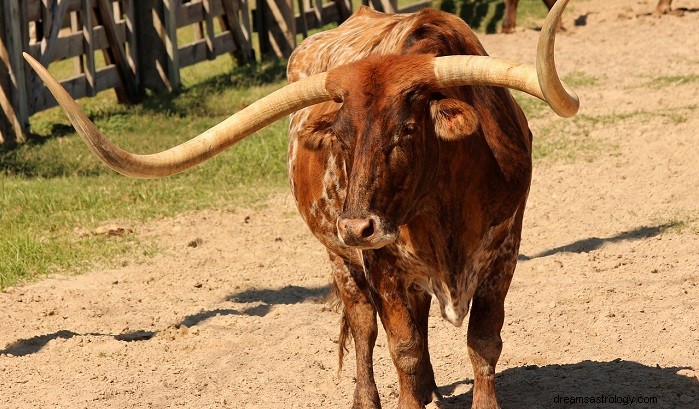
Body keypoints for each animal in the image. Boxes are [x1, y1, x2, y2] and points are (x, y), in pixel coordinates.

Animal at [24, 0, 578, 407]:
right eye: (341, 136)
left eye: (406, 129)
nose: (357, 227)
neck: (442, 212)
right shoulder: (384, 265)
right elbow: (404, 350)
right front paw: (408, 396)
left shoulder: (503, 252)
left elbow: (483, 345)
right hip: (341, 260)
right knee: (366, 326)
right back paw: (373, 398)